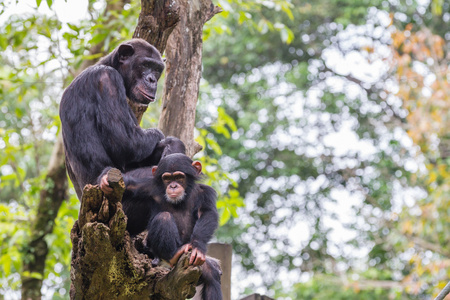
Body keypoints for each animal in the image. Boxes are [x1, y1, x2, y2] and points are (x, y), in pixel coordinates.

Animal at [59, 38, 183, 198]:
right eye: (145, 64)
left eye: (156, 69)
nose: (152, 79)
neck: (111, 66)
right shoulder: (107, 79)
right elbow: (126, 142)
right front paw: (160, 135)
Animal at [100, 155, 223, 300]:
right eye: (167, 178)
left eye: (179, 177)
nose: (173, 186)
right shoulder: (147, 187)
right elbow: (129, 185)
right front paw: (104, 179)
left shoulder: (206, 193)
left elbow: (207, 213)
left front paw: (198, 247)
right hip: (158, 251)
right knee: (164, 217)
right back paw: (174, 254)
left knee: (211, 276)